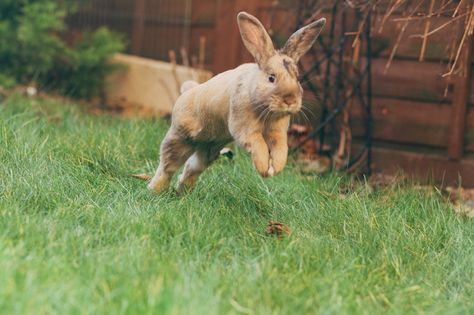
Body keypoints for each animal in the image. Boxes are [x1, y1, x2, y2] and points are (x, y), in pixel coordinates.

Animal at [148, 11, 326, 194]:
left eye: (297, 78)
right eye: (271, 78)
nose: (290, 100)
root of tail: (188, 90)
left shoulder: (277, 133)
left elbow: (281, 150)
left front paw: (275, 169)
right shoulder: (245, 128)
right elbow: (258, 145)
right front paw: (263, 169)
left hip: (209, 148)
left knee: (192, 168)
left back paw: (182, 193)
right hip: (181, 137)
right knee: (167, 166)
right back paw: (154, 190)